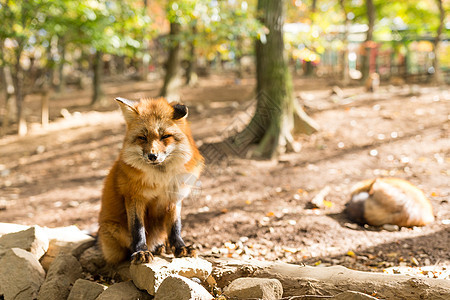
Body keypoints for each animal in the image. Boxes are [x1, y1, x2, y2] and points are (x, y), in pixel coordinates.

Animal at [100, 97, 204, 264]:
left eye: (165, 136)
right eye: (143, 138)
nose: (152, 156)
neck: (161, 179)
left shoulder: (174, 198)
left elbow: (175, 227)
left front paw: (180, 247)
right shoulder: (134, 197)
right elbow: (138, 228)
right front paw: (141, 251)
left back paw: (163, 247)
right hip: (114, 232)